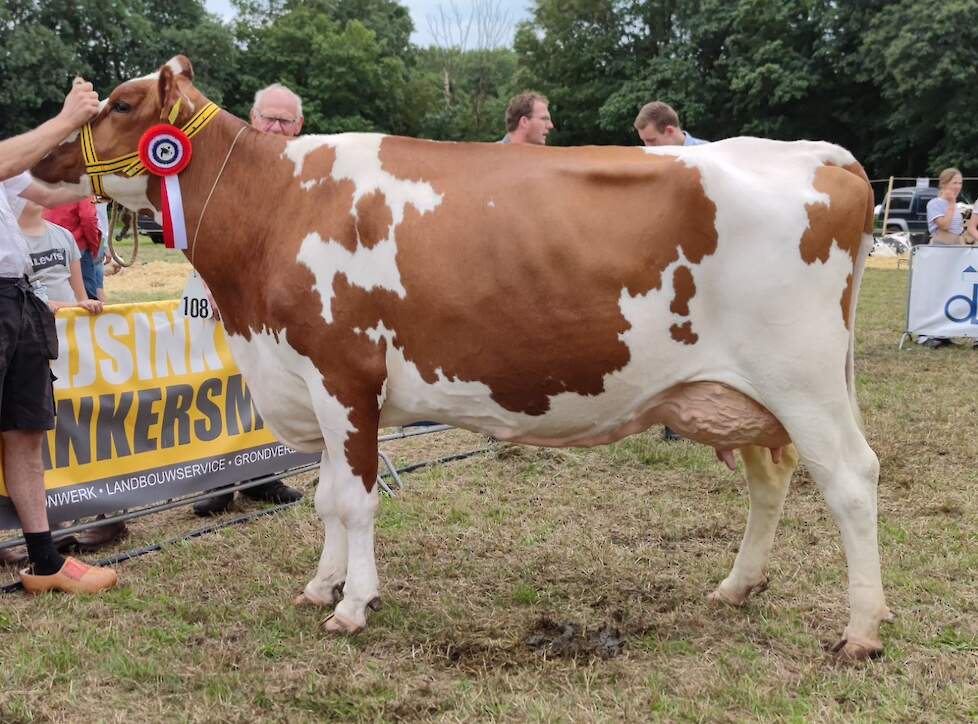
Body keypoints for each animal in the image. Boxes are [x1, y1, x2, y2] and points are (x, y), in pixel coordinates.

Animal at [30, 56, 888, 656]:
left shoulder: (345, 375)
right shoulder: (314, 383)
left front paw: (353, 606)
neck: (274, 212)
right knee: (772, 479)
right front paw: (322, 586)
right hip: (743, 393)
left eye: (120, 104)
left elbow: (355, 501)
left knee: (850, 480)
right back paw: (738, 586)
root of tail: (822, 156)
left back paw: (862, 630)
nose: (37, 162)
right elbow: (328, 498)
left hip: (804, 379)